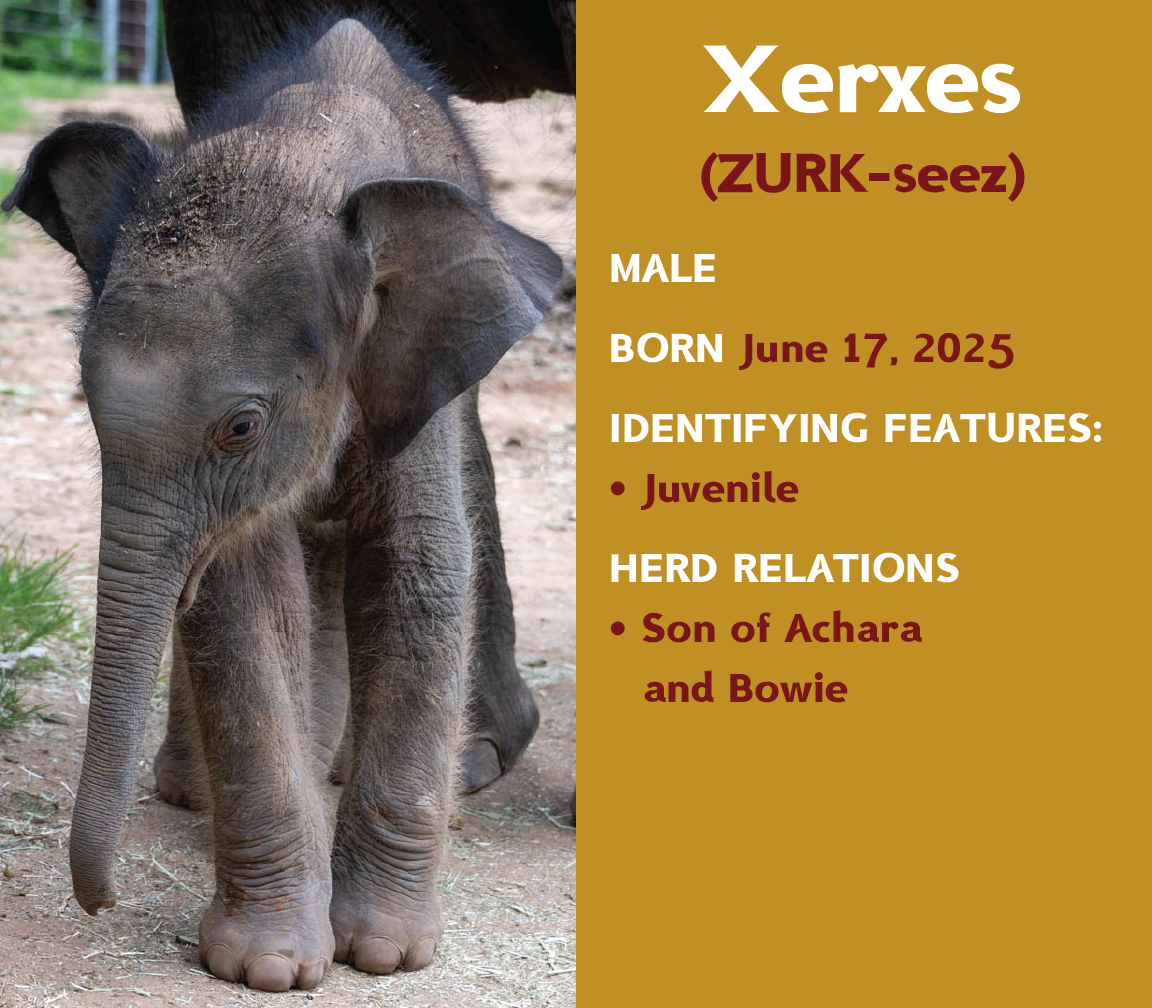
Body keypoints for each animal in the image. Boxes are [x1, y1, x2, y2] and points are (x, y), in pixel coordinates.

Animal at [1, 16, 562, 992]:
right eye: (83, 402)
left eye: (241, 426)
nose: (99, 902)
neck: (300, 147)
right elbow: (240, 601)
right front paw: (269, 966)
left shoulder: (407, 374)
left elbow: (417, 573)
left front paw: (383, 953)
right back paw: (193, 790)